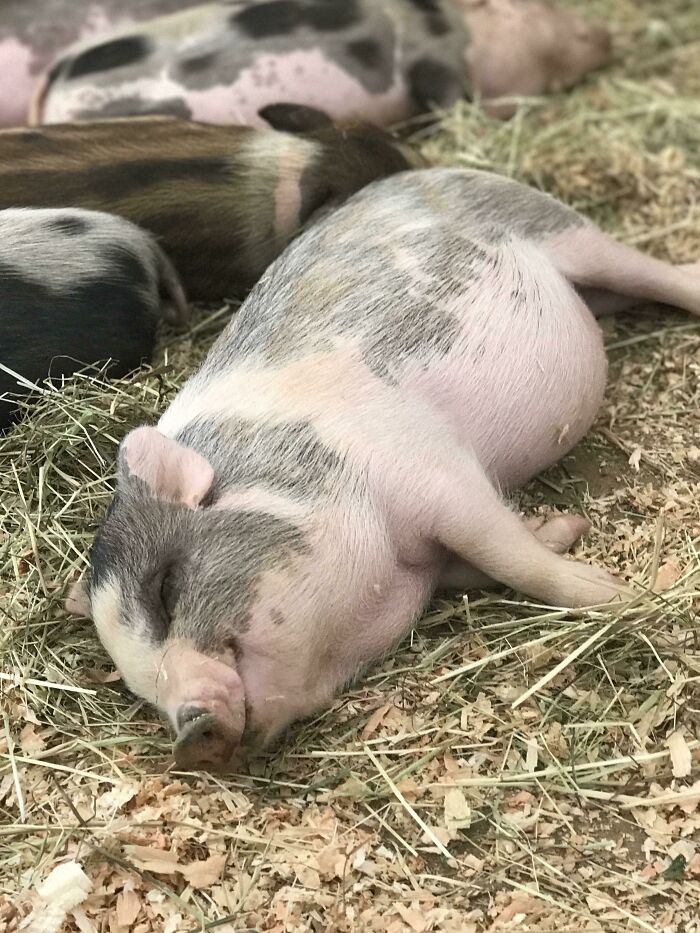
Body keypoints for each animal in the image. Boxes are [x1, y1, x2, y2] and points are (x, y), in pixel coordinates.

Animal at [66, 167, 700, 772]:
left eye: (166, 592)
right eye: (139, 687)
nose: (189, 740)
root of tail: (416, 174)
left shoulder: (435, 469)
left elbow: (513, 558)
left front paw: (619, 594)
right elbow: (491, 563)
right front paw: (568, 531)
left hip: (559, 228)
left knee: (652, 271)